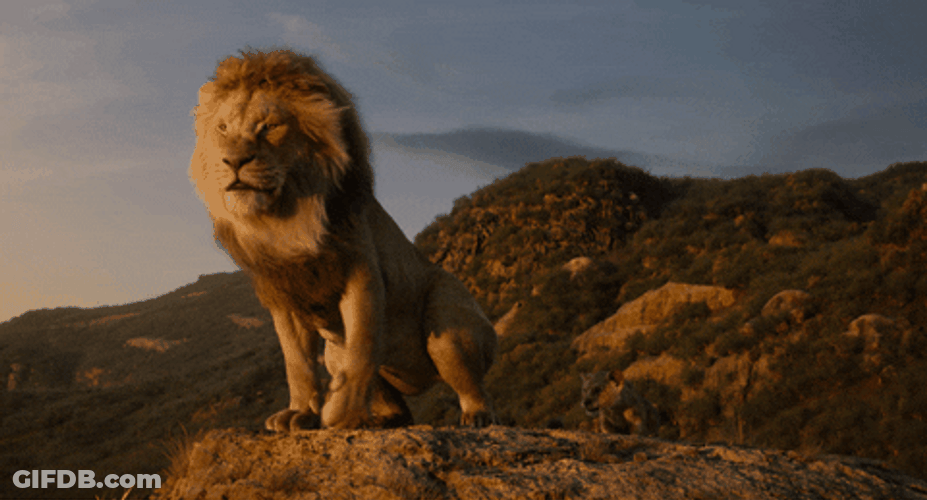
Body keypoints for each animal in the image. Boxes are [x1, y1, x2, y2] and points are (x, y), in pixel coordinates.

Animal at [190, 49, 497, 430]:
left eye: (270, 126)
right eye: (223, 129)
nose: (232, 161)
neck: (285, 219)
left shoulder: (361, 273)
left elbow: (362, 348)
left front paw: (342, 414)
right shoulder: (285, 296)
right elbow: (297, 363)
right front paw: (300, 413)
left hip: (449, 323)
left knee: (471, 385)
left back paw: (476, 416)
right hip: (335, 354)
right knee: (397, 408)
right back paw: (380, 420)